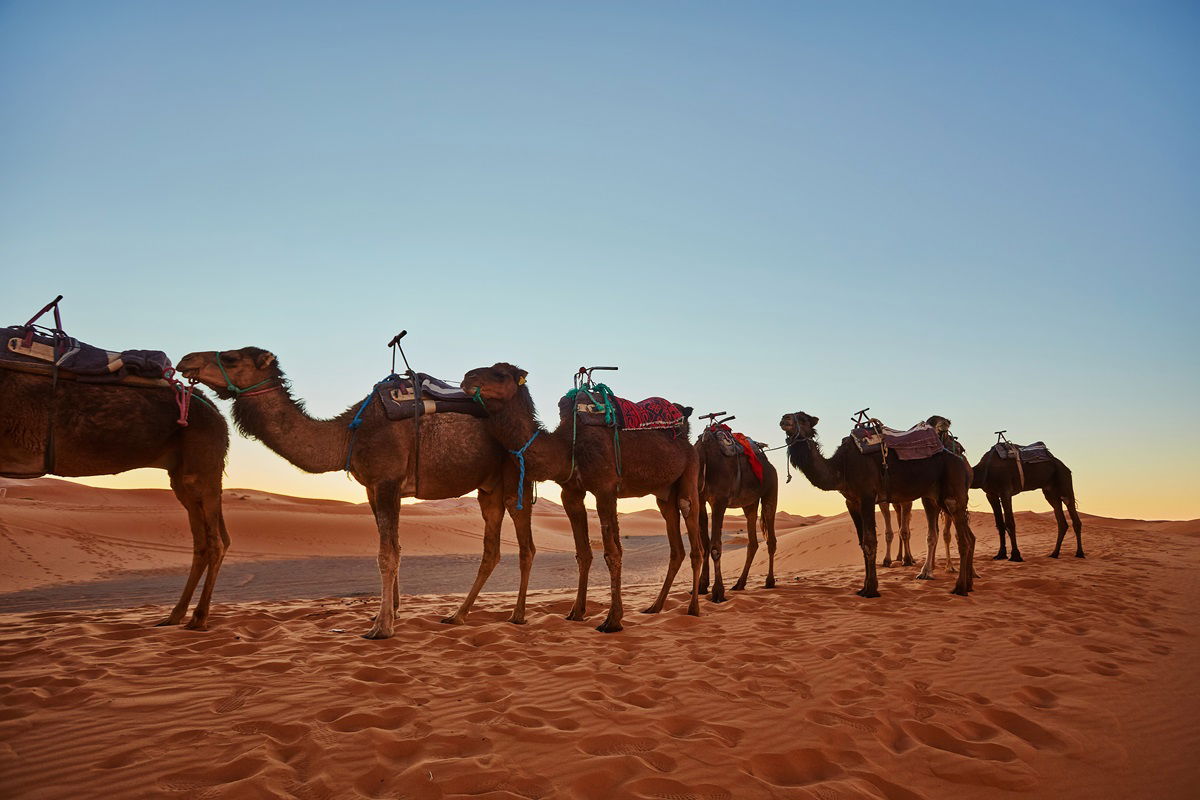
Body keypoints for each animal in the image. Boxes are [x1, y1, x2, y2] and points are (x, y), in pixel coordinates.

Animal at [0, 368, 230, 630]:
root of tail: (218, 414)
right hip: (181, 474)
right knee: (203, 541)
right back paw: (175, 615)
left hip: (202, 463)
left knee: (215, 542)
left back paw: (198, 618)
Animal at [177, 347, 534, 639]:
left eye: (231, 358)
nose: (186, 360)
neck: (347, 434)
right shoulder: (374, 487)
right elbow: (394, 548)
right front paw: (386, 615)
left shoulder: (387, 480)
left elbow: (386, 555)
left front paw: (382, 628)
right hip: (488, 487)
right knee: (491, 550)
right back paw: (457, 615)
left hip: (517, 475)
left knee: (525, 545)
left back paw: (517, 616)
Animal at [461, 363, 703, 633]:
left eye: (500, 374)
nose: (467, 378)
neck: (567, 447)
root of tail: (686, 436)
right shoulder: (571, 492)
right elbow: (583, 553)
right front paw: (576, 612)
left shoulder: (605, 488)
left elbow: (612, 552)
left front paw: (612, 620)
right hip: (664, 493)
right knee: (676, 546)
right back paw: (655, 607)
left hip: (689, 474)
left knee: (693, 532)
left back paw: (693, 609)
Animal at [694, 417, 778, 602]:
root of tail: (768, 464)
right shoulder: (700, 500)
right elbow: (705, 544)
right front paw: (702, 586)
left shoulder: (719, 501)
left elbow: (715, 546)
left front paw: (718, 591)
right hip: (750, 503)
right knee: (753, 542)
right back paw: (740, 583)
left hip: (770, 492)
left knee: (771, 539)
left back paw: (769, 581)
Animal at [780, 411, 976, 597]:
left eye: (803, 419)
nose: (784, 419)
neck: (842, 466)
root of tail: (960, 459)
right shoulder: (851, 501)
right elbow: (862, 542)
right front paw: (864, 587)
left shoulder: (867, 496)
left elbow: (870, 541)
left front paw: (871, 590)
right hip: (936, 497)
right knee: (967, 536)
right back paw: (968, 584)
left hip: (952, 495)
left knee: (963, 540)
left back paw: (959, 588)